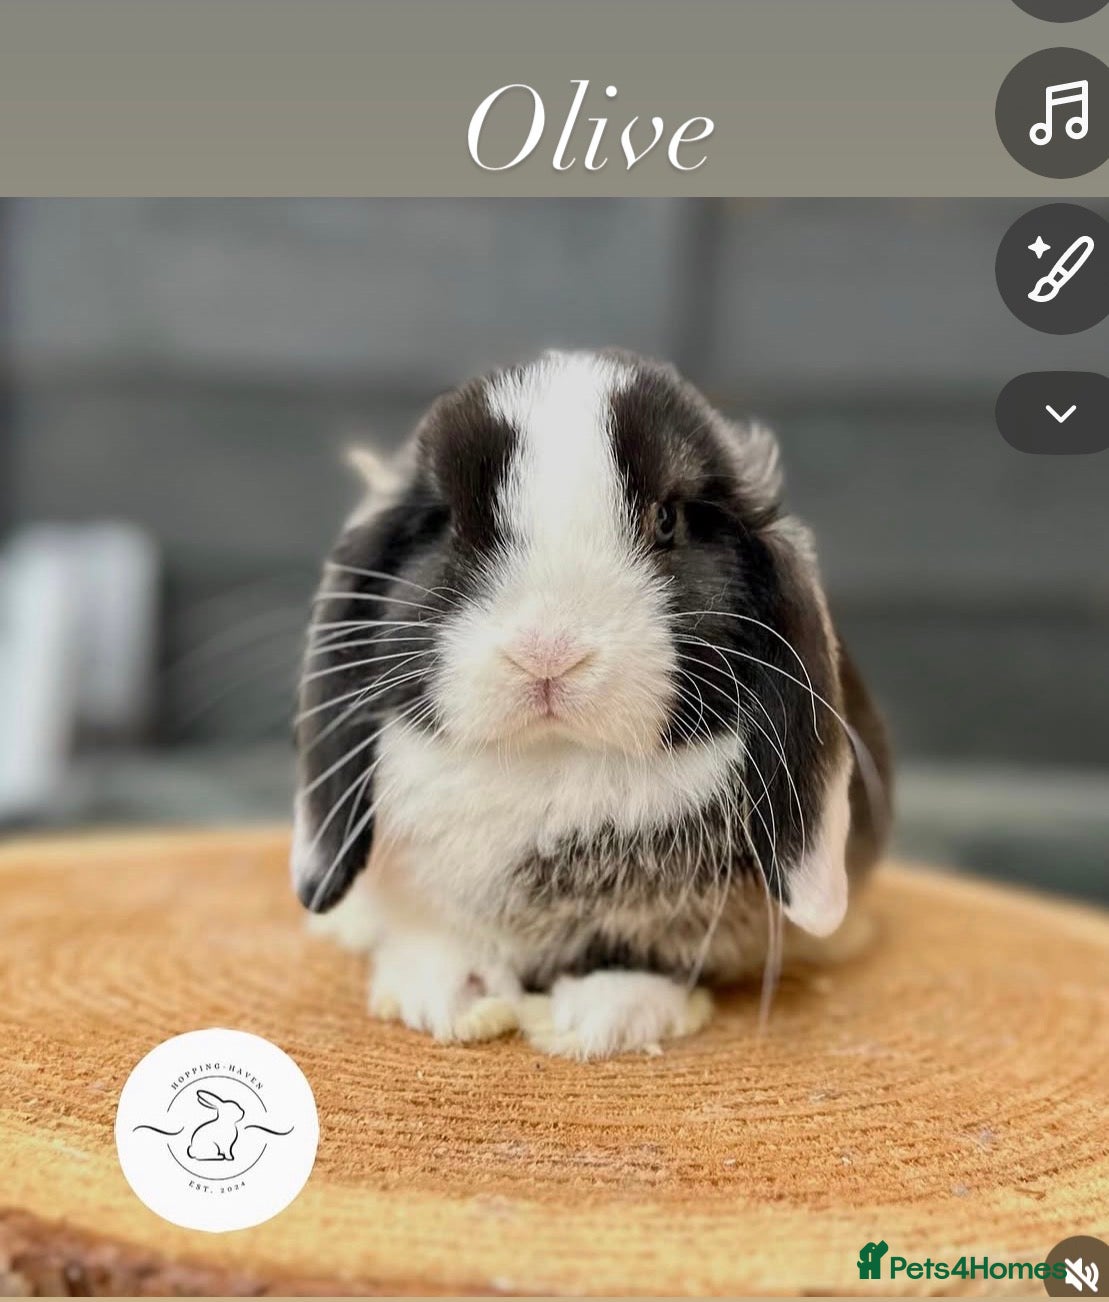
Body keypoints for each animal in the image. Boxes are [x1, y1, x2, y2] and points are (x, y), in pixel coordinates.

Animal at [292, 349, 892, 1059]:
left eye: (668, 519)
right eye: (447, 523)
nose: (548, 652)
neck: (556, 768)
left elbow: (655, 960)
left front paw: (601, 1015)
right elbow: (441, 936)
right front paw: (451, 994)